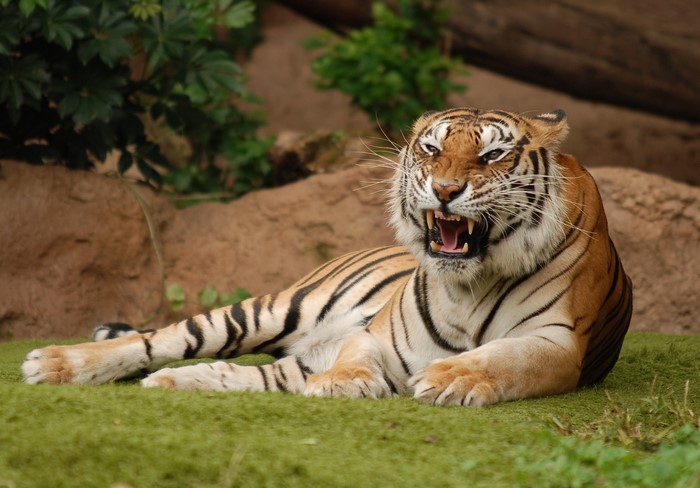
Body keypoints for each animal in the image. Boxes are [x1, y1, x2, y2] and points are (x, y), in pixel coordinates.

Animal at [21, 107, 633, 406]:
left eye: (492, 155)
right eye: (432, 148)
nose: (444, 189)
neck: (469, 282)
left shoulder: (559, 343)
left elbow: (505, 358)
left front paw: (451, 379)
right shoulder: (376, 334)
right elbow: (356, 354)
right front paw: (347, 383)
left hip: (281, 355)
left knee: (236, 375)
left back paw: (170, 384)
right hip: (264, 310)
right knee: (157, 341)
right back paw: (54, 363)